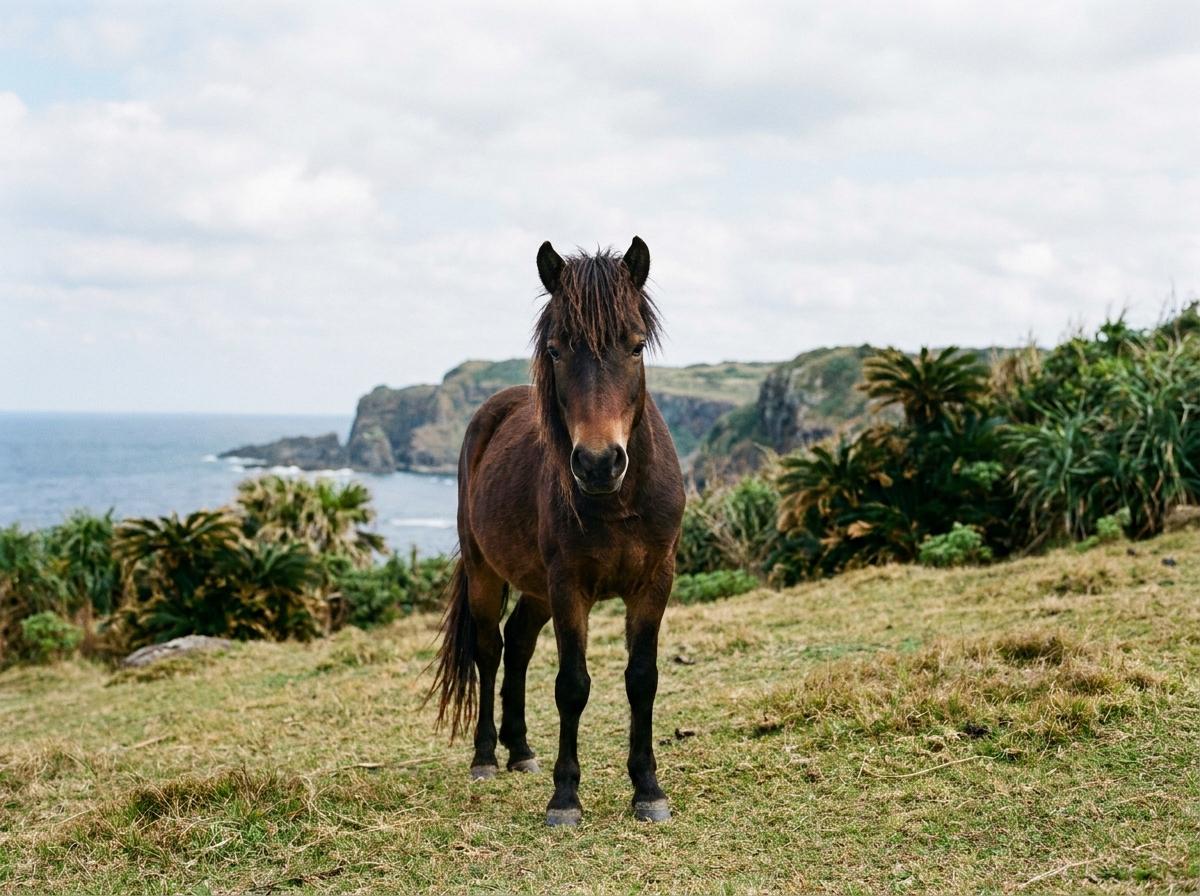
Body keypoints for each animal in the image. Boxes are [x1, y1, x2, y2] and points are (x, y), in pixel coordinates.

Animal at [430, 236, 685, 827]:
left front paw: (648, 789)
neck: (620, 502)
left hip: (537, 589)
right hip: (487, 571)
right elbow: (572, 686)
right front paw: (565, 796)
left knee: (520, 644)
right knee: (490, 650)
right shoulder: (570, 586)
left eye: (635, 346)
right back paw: (486, 756)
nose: (597, 463)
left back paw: (520, 749)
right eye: (555, 350)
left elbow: (642, 679)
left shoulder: (654, 582)